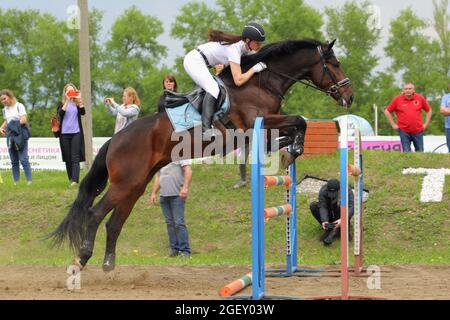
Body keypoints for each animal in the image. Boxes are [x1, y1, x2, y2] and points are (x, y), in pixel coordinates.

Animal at [49, 38, 352, 272]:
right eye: (335, 64)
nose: (349, 96)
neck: (261, 83)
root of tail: (114, 140)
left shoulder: (264, 128)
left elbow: (293, 128)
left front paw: (290, 151)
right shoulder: (258, 123)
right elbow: (299, 121)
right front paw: (295, 150)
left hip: (135, 186)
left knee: (113, 223)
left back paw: (108, 264)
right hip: (125, 184)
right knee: (95, 213)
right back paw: (82, 259)